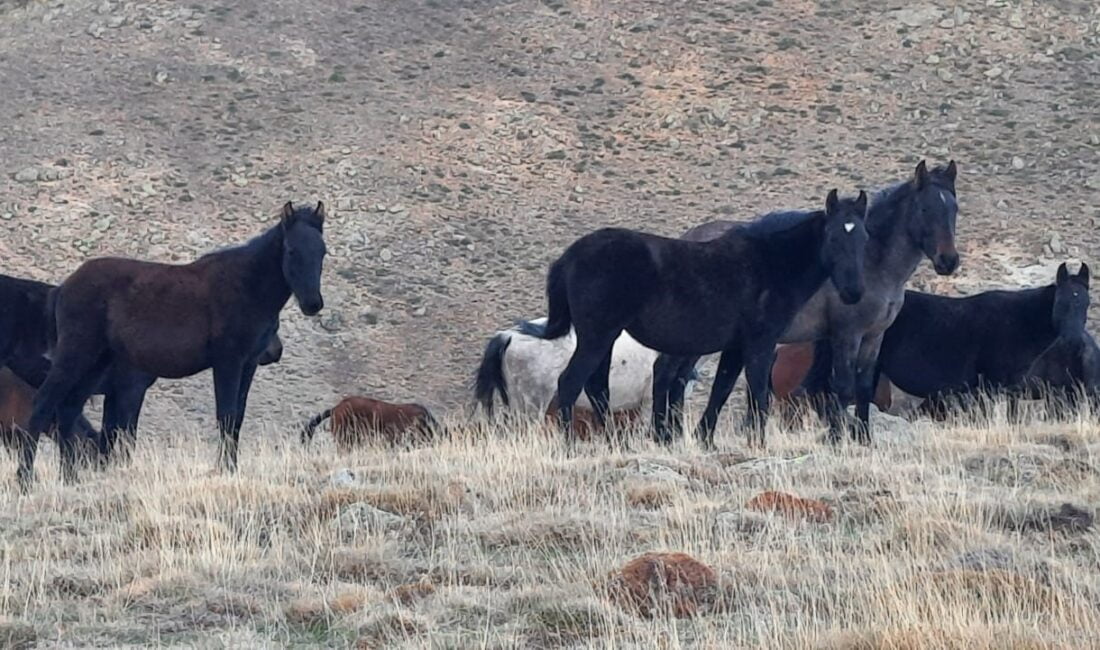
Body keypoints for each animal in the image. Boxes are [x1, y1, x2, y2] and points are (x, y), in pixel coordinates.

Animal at [16, 201, 325, 490]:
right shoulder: (228, 361)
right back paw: (26, 480)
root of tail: (63, 288)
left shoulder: (248, 364)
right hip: (76, 355)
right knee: (43, 404)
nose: (313, 304)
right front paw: (225, 470)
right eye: (291, 251)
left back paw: (70, 480)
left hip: (95, 363)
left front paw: (232, 468)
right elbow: (225, 415)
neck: (248, 285)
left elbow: (237, 418)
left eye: (322, 252)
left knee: (68, 409)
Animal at [530, 190, 866, 450]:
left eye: (863, 237)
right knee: (570, 382)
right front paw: (758, 443)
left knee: (597, 386)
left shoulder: (736, 347)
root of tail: (569, 256)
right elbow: (758, 393)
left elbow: (722, 389)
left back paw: (615, 443)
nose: (853, 292)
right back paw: (569, 445)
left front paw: (708, 441)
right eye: (833, 237)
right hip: (596, 337)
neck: (773, 263)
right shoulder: (760, 342)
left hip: (605, 337)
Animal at [655, 161, 959, 448]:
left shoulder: (874, 336)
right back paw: (665, 435)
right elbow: (842, 387)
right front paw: (838, 439)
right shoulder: (846, 335)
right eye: (925, 209)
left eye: (954, 209)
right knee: (667, 371)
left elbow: (862, 387)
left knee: (677, 376)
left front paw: (864, 439)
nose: (948, 261)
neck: (872, 263)